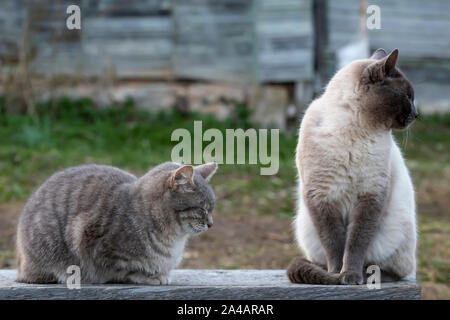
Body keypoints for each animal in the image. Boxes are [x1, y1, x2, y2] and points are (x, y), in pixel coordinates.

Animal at [18, 161, 219, 284]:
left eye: (211, 209)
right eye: (202, 209)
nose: (211, 224)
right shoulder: (93, 244)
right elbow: (124, 270)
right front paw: (149, 276)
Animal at [288, 48, 418, 284]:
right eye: (408, 96)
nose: (416, 114)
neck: (355, 129)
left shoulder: (370, 197)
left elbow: (356, 243)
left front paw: (350, 276)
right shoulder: (321, 197)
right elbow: (334, 243)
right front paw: (336, 275)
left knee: (391, 271)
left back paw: (368, 275)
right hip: (306, 227)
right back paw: (328, 273)